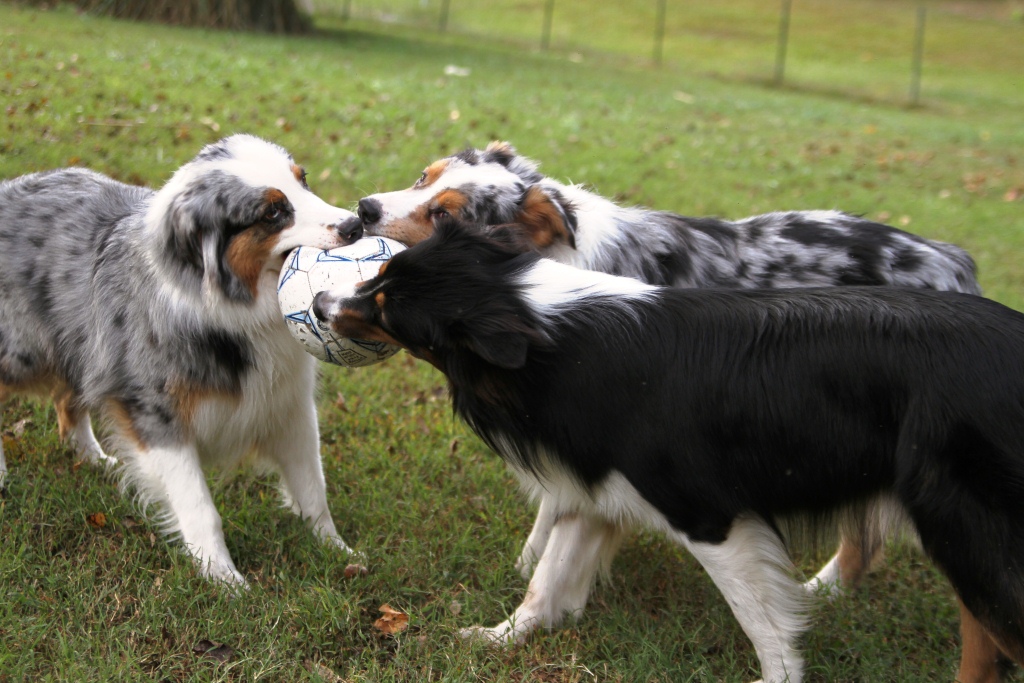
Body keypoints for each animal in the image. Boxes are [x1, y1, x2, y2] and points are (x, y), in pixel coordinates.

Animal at [0, 136, 366, 585]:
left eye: (304, 180)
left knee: (69, 404)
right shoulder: (157, 415)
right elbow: (200, 509)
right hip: (23, 354)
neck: (231, 307)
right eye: (273, 212)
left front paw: (336, 551)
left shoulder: (288, 405)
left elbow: (313, 487)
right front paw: (224, 579)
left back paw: (93, 458)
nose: (355, 226)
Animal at [313, 222, 1024, 683]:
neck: (542, 330)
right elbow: (545, 581)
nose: (319, 301)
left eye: (386, 309)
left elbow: (765, 623)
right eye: (380, 275)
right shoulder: (597, 488)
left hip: (969, 531)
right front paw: (497, 640)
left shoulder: (710, 516)